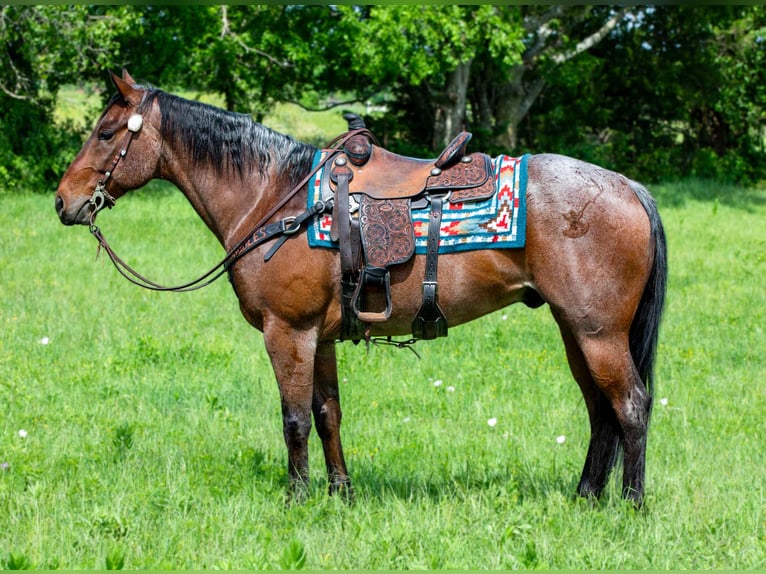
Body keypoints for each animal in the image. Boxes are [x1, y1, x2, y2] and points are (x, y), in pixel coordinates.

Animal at [57, 70, 664, 506]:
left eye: (106, 134)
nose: (64, 201)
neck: (272, 196)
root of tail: (627, 185)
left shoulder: (288, 332)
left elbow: (295, 419)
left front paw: (297, 500)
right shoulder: (319, 337)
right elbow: (328, 414)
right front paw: (340, 493)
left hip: (598, 333)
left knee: (631, 406)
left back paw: (631, 505)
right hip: (575, 330)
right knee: (601, 412)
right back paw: (586, 497)